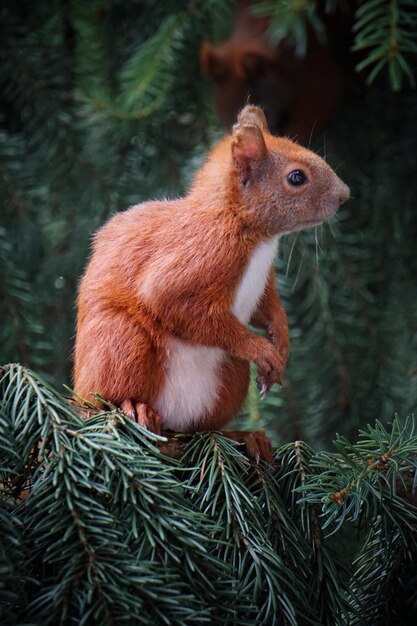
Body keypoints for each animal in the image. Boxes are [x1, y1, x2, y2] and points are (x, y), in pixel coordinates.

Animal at [73, 106, 350, 458]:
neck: (250, 231)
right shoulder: (199, 256)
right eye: (296, 177)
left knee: (204, 428)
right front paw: (262, 349)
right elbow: (173, 302)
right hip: (121, 342)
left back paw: (243, 436)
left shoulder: (263, 283)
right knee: (106, 399)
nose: (345, 195)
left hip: (231, 375)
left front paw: (283, 341)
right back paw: (134, 409)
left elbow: (268, 308)